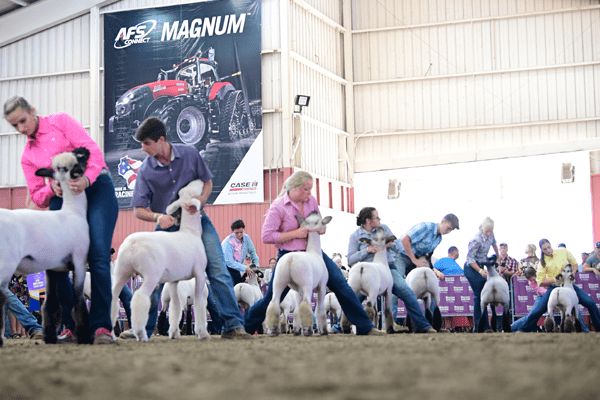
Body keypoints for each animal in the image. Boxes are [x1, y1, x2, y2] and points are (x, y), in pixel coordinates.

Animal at [109, 180, 209, 340]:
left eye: (183, 191)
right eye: (193, 189)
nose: (200, 180)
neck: (190, 232)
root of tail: (133, 244)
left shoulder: (174, 280)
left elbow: (175, 307)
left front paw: (174, 333)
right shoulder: (199, 273)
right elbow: (199, 302)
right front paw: (202, 332)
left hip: (121, 271)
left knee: (112, 296)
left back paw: (111, 334)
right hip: (151, 274)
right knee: (140, 297)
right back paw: (141, 333)